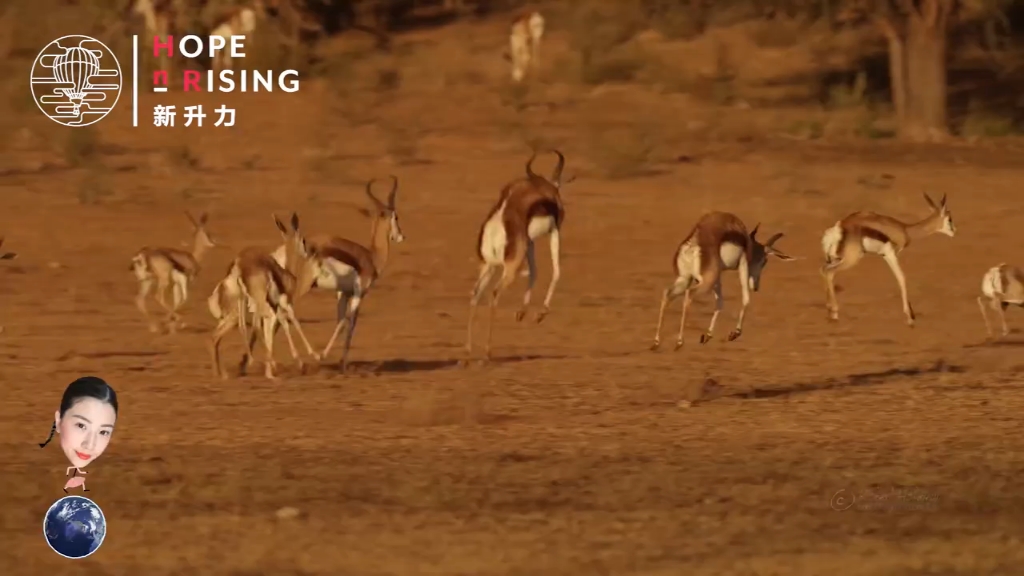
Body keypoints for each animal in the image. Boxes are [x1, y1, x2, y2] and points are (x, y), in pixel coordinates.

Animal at [468, 146, 573, 358]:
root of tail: (497, 223)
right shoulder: (554, 230)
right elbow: (556, 271)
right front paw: (540, 314)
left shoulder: (530, 242)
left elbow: (534, 272)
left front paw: (522, 312)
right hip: (510, 267)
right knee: (494, 293)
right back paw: (487, 353)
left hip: (488, 266)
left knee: (475, 294)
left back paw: (467, 353)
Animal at [647, 212, 798, 350]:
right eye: (764, 261)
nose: (756, 286)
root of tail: (693, 243)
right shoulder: (743, 264)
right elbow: (746, 298)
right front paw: (735, 333)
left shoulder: (718, 275)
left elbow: (720, 302)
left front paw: (708, 335)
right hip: (704, 282)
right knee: (690, 294)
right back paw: (679, 342)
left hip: (685, 279)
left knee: (667, 293)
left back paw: (656, 342)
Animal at [819, 192, 954, 325]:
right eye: (950, 219)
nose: (954, 232)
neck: (905, 229)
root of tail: (839, 227)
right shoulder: (890, 254)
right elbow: (901, 278)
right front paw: (909, 318)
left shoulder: (885, 255)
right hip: (850, 260)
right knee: (829, 272)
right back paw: (834, 314)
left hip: (835, 258)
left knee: (824, 270)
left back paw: (829, 309)